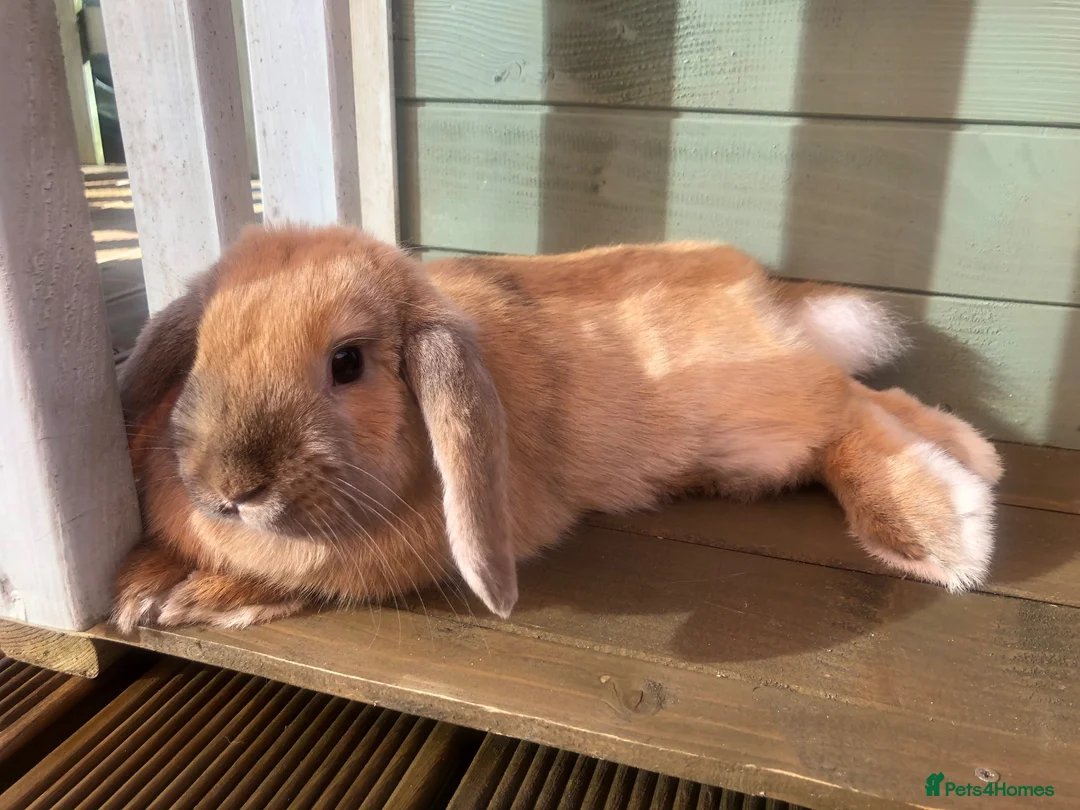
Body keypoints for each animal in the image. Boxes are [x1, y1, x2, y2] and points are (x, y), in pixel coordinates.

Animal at [110, 225, 1003, 632]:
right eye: (199, 351)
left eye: (348, 362)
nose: (229, 490)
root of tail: (763, 290)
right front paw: (141, 588)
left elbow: (305, 582)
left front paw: (184, 598)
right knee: (871, 395)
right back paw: (978, 458)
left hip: (759, 423)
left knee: (847, 411)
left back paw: (941, 527)